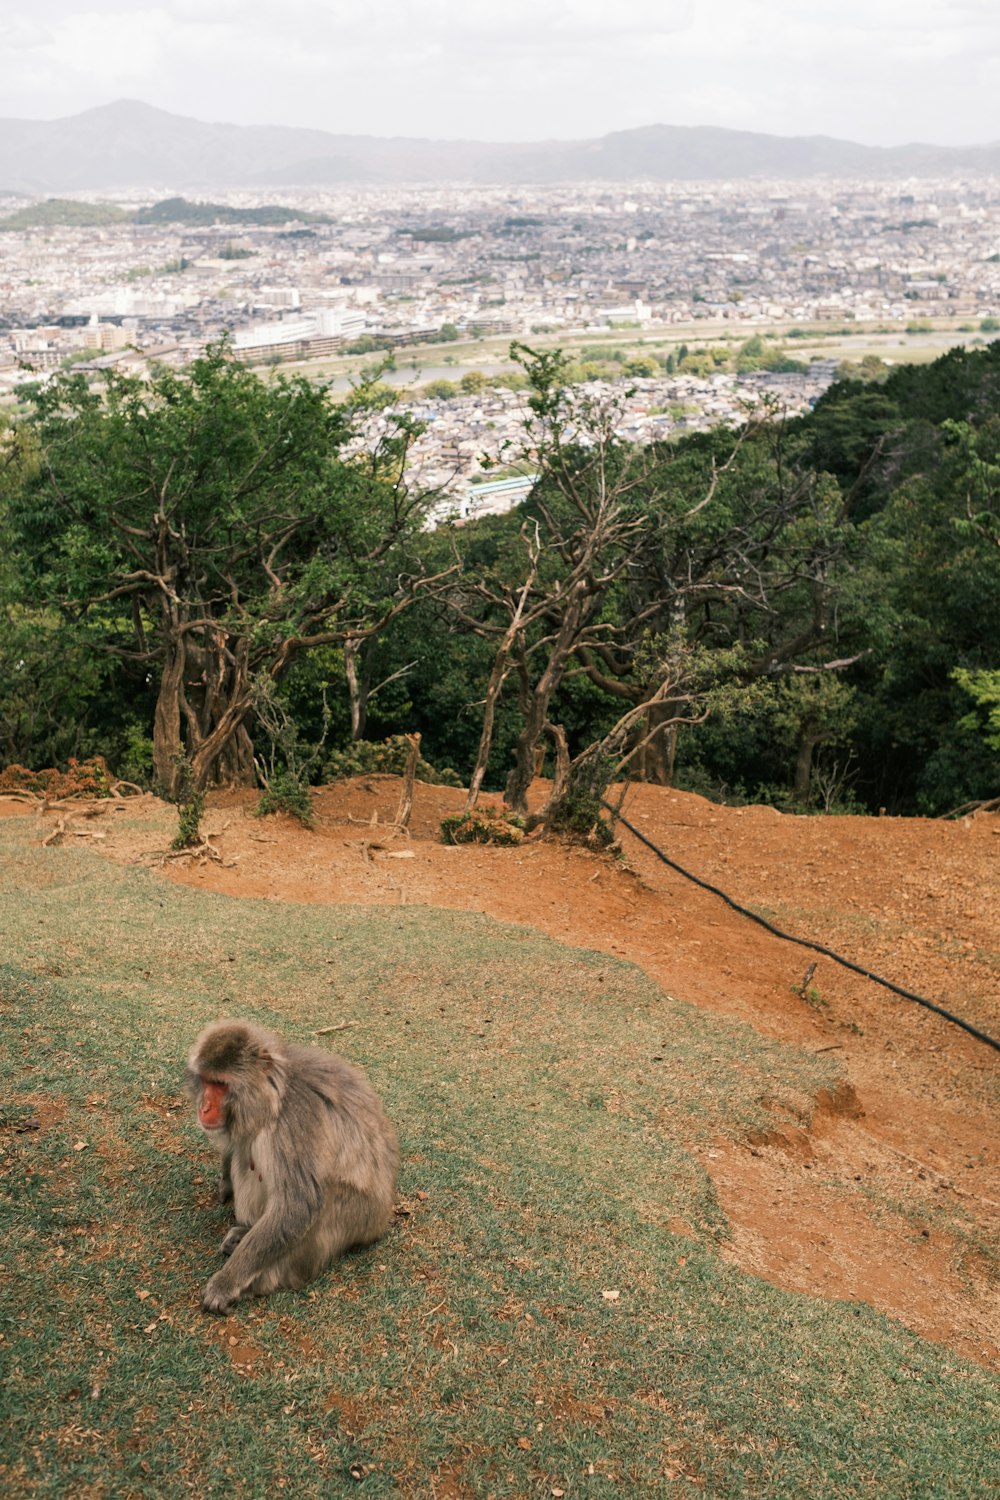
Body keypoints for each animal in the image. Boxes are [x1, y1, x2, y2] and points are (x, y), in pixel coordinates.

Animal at [187, 1020, 398, 1314]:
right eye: (206, 1081)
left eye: (220, 1084)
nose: (204, 1107)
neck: (276, 1097)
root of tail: (382, 1219)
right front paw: (225, 1183)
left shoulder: (296, 1121)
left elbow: (299, 1205)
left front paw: (226, 1282)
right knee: (246, 1152)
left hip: (355, 1218)